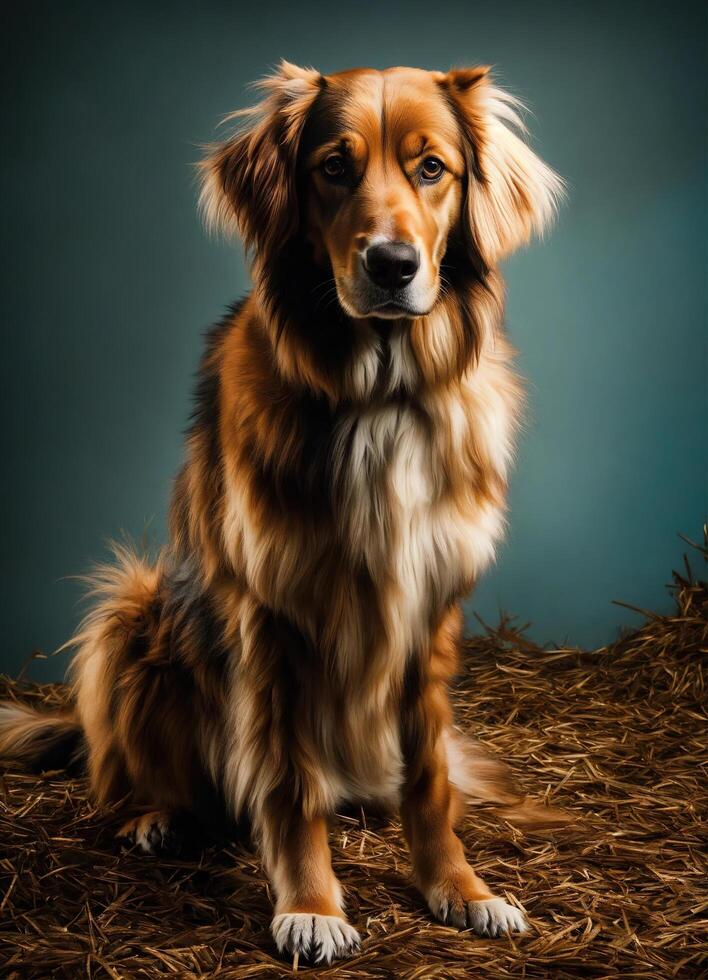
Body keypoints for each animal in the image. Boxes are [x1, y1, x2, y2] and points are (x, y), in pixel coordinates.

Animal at [1, 63, 564, 964]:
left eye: (431, 168)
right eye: (334, 167)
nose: (393, 265)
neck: (381, 395)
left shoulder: (431, 611)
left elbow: (431, 780)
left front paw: (461, 888)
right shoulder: (276, 613)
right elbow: (290, 783)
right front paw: (312, 907)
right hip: (133, 611)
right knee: (126, 775)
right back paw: (153, 815)